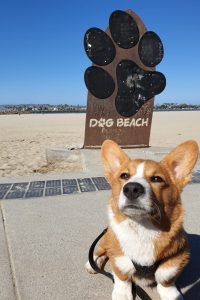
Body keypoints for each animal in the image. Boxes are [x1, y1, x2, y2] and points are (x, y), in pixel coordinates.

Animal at [85, 139, 198, 298]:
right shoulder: (120, 260)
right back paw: (93, 263)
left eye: (156, 179)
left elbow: (166, 282)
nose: (131, 189)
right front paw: (122, 292)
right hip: (108, 237)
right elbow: (121, 277)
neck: (141, 228)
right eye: (124, 176)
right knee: (101, 249)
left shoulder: (173, 263)